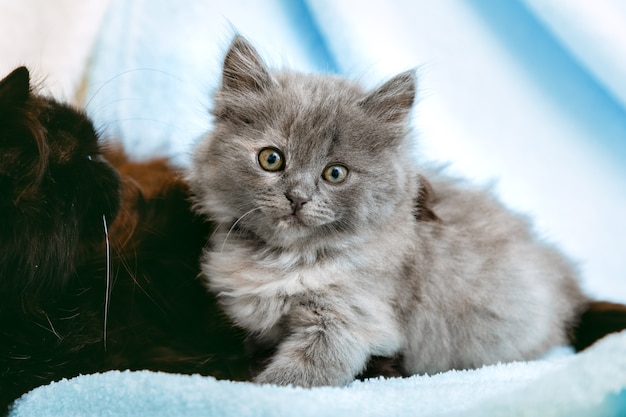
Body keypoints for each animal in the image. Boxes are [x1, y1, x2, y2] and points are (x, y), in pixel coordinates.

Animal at [188, 36, 624, 386]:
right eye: (271, 159)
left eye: (335, 173)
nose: (297, 197)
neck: (283, 261)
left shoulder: (350, 319)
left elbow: (301, 373)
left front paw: (260, 390)